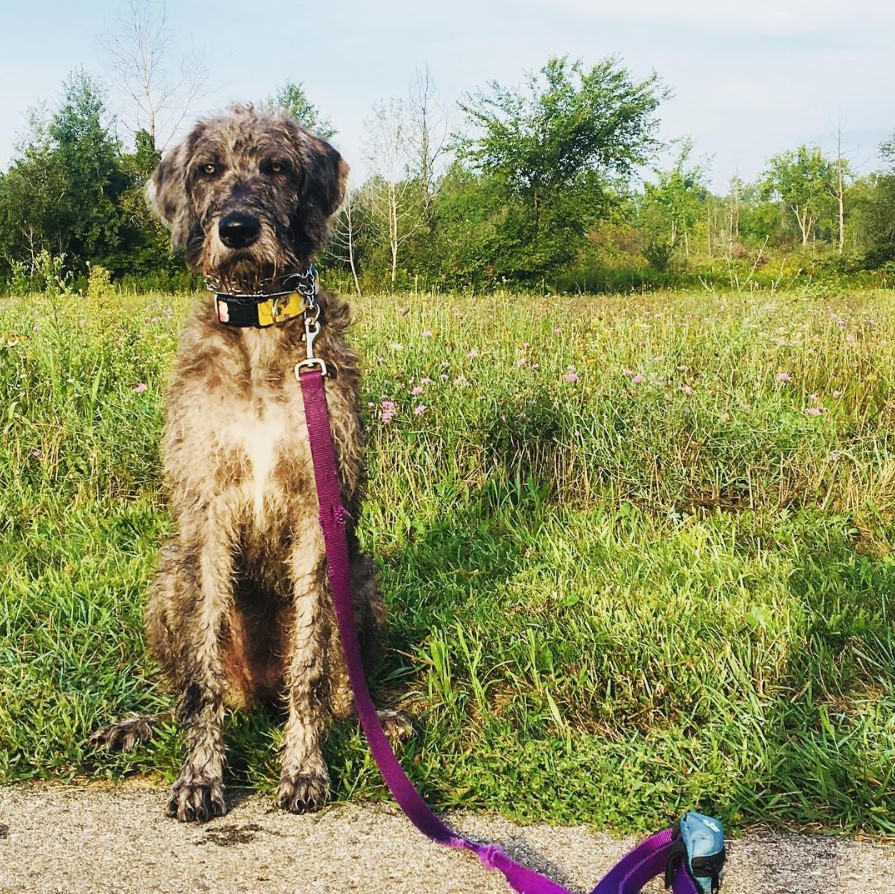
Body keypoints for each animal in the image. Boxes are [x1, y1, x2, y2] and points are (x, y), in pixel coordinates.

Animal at [93, 107, 384, 824]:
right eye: (207, 170)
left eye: (277, 167)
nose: (237, 229)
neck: (255, 329)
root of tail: (258, 693)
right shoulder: (206, 512)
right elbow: (200, 679)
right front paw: (200, 776)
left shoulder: (316, 512)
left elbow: (312, 667)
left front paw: (304, 769)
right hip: (167, 579)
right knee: (197, 689)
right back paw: (144, 723)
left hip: (361, 582)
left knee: (343, 692)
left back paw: (387, 720)